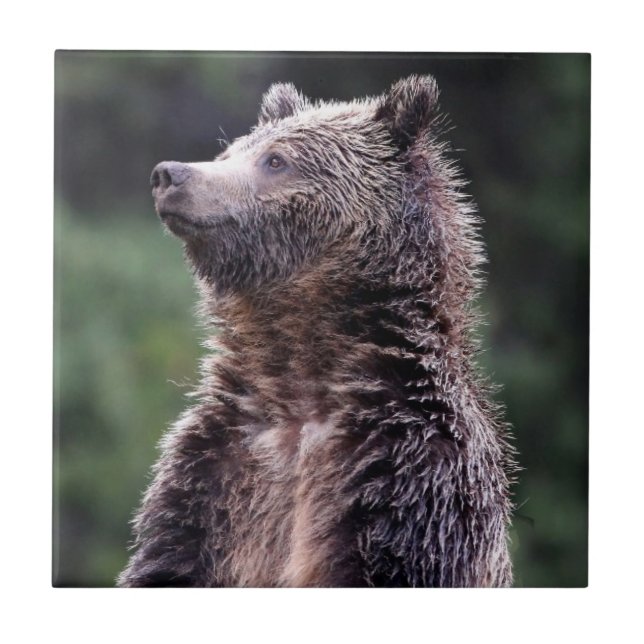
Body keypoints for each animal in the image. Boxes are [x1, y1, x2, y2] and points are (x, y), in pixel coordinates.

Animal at [118, 75, 516, 588]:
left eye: (276, 160)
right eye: (231, 151)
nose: (170, 174)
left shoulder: (408, 482)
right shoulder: (210, 477)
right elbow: (168, 559)